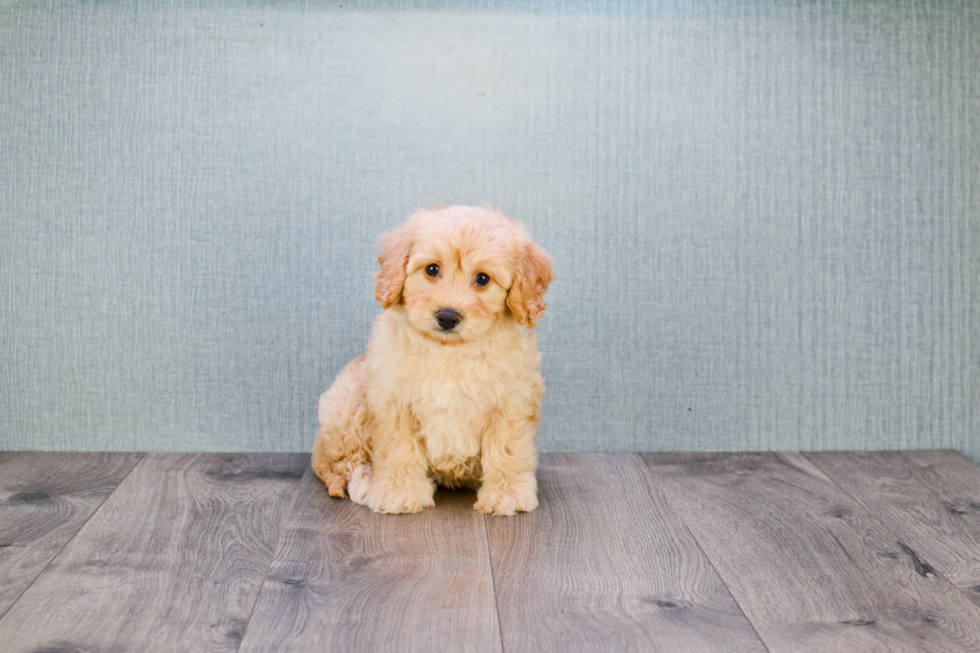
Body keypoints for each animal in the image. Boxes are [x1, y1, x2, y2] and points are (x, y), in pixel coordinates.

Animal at [312, 204, 552, 516]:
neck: (449, 351)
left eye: (483, 279)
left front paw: (506, 494)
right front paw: (398, 492)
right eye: (432, 269)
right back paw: (363, 478)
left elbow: (507, 449)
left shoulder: (512, 402)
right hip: (346, 404)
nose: (447, 316)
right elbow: (399, 449)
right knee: (331, 460)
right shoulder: (392, 401)